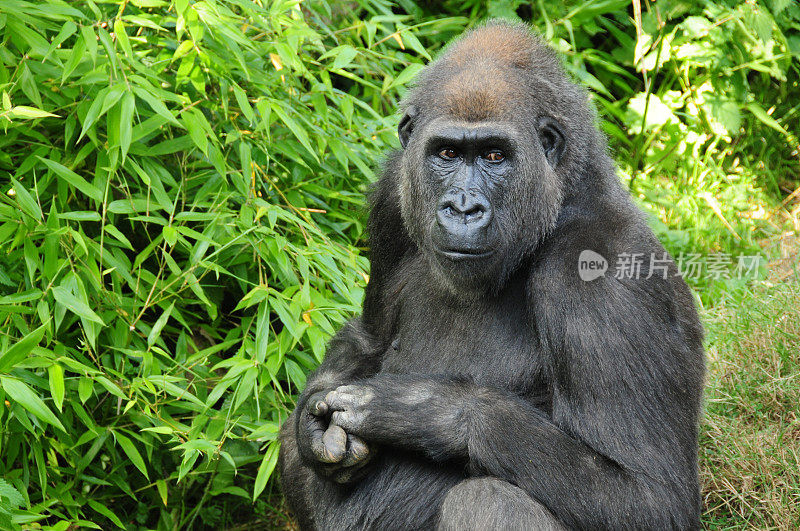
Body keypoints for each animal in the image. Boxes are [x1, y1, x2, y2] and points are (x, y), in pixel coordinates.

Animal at [278, 20, 704, 531]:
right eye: (446, 152)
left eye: (495, 156)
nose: (463, 208)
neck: (559, 200)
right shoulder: (391, 193)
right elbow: (367, 338)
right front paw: (313, 424)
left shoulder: (607, 271)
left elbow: (648, 496)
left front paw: (430, 409)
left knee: (485, 500)